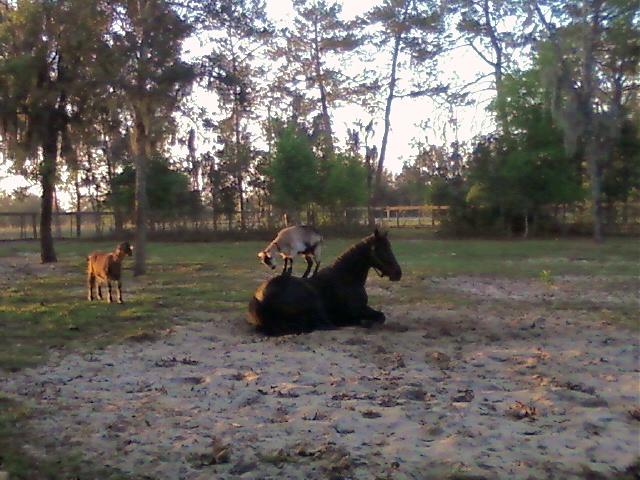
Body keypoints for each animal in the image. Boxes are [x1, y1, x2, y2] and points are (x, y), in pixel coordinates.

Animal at [248, 230, 402, 336]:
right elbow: (380, 317)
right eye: (381, 249)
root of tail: (261, 298)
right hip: (314, 303)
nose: (398, 273)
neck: (345, 278)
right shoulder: (359, 309)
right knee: (326, 325)